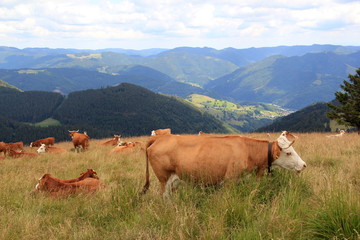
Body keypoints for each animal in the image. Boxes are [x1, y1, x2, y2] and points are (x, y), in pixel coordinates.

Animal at [141, 131, 306, 197]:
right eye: (288, 152)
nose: (304, 165)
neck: (248, 151)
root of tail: (160, 138)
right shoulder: (230, 180)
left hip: (174, 179)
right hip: (164, 178)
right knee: (164, 196)